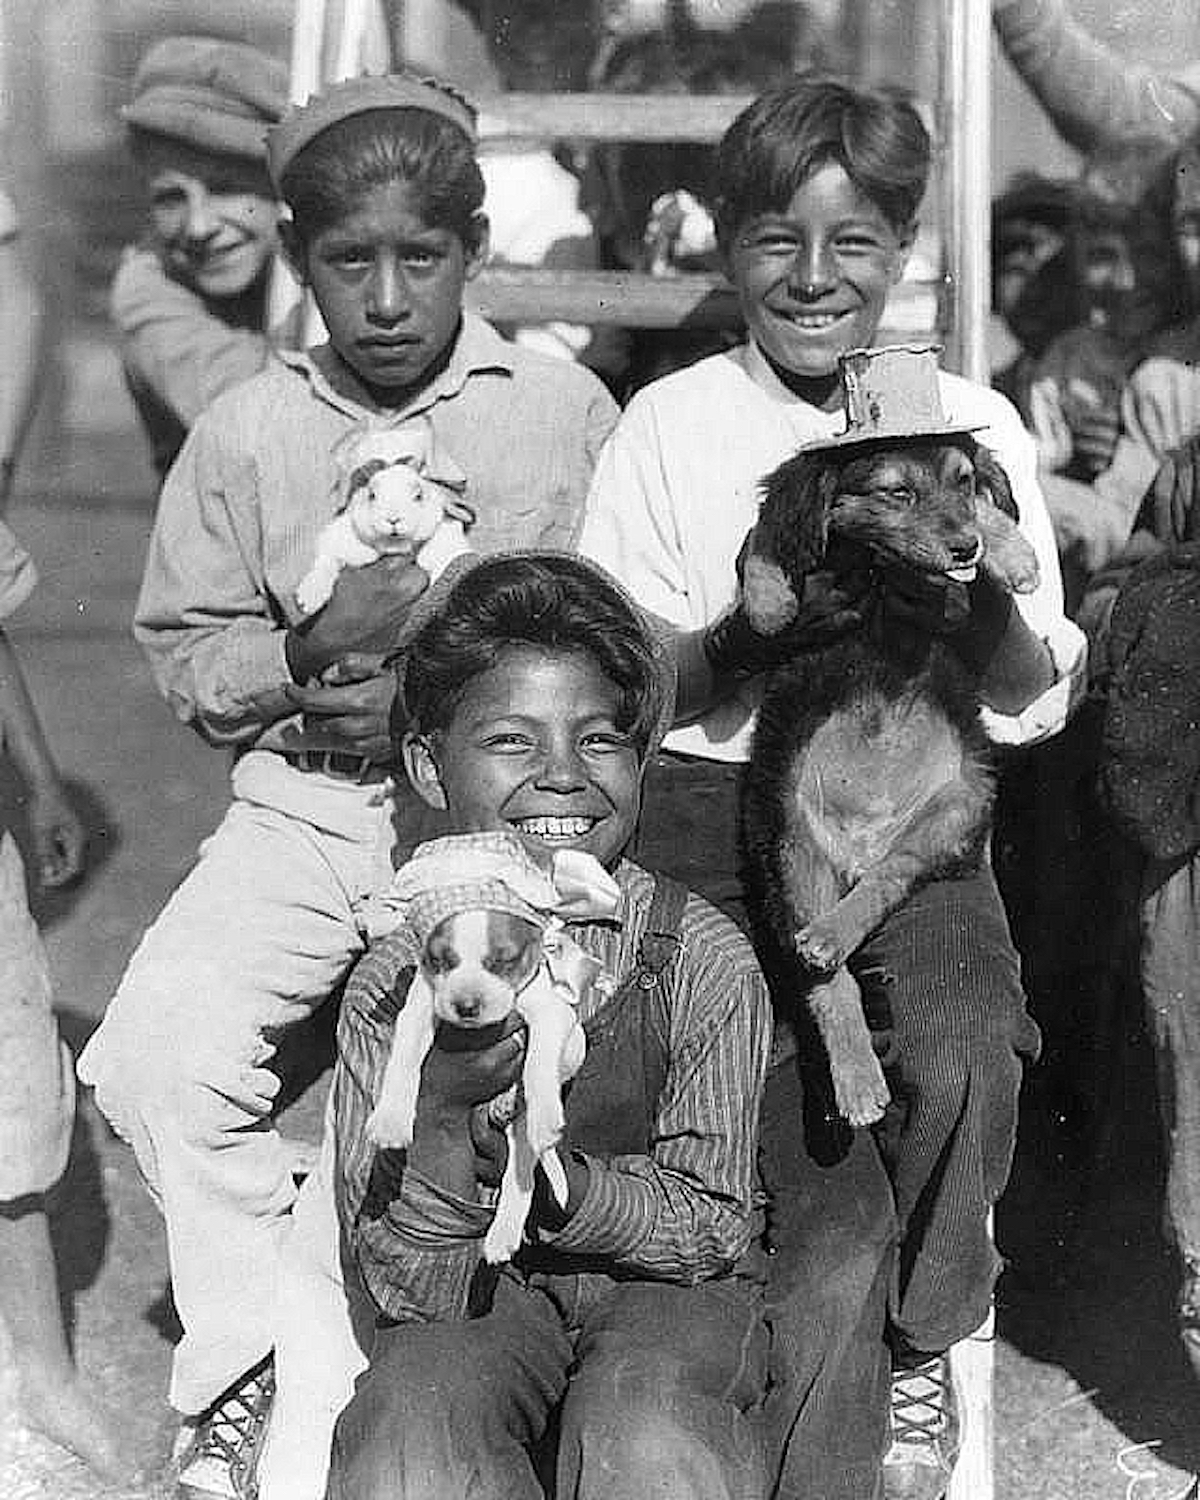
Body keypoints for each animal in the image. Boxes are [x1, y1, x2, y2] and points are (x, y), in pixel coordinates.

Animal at [741, 435, 1038, 1128]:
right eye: (897, 492)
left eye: (963, 482)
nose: (964, 551)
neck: (876, 564)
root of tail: (861, 845)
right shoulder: (787, 511)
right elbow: (760, 543)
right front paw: (768, 608)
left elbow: (992, 513)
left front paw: (1016, 555)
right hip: (789, 843)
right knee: (826, 981)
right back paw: (856, 1077)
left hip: (960, 802)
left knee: (889, 879)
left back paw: (838, 934)